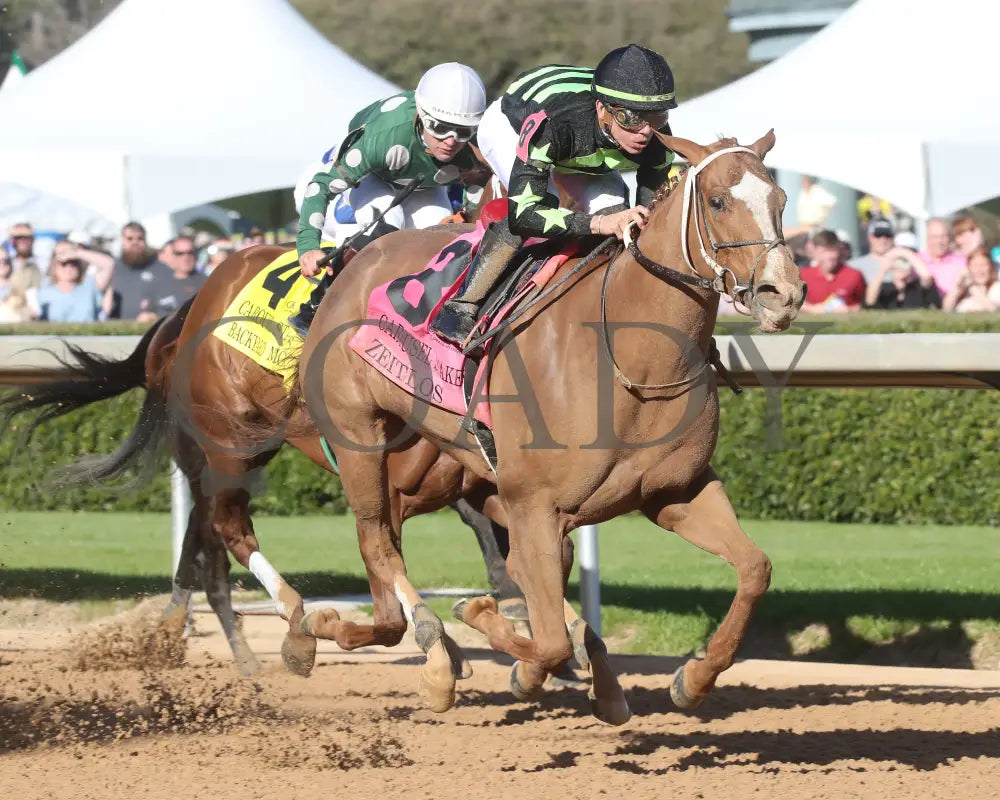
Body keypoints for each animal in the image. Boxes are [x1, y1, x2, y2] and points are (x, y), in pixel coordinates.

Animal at [294, 131, 804, 720]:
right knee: (379, 542)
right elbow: (549, 636)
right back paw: (409, 652)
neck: (632, 356)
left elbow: (755, 569)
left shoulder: (676, 492)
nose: (783, 294)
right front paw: (480, 618)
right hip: (360, 439)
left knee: (391, 553)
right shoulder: (533, 502)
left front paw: (692, 678)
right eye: (718, 201)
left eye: (781, 201)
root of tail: (354, 261)